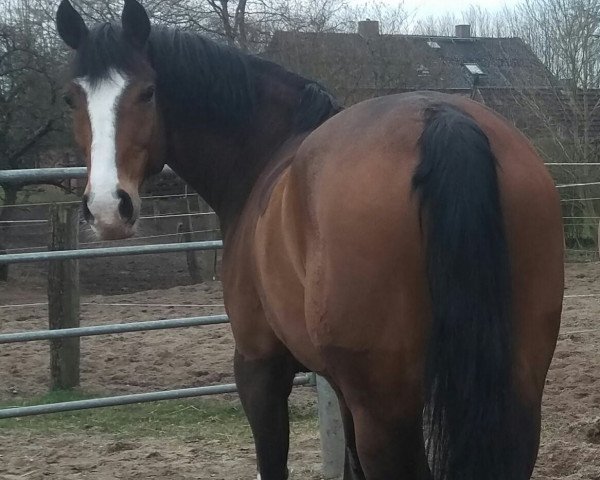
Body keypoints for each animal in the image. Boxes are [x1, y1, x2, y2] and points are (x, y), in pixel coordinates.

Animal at [54, 1, 564, 478]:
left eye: (148, 92)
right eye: (71, 99)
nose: (108, 207)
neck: (264, 156)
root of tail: (442, 118)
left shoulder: (259, 367)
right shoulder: (340, 386)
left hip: (386, 411)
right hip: (516, 393)